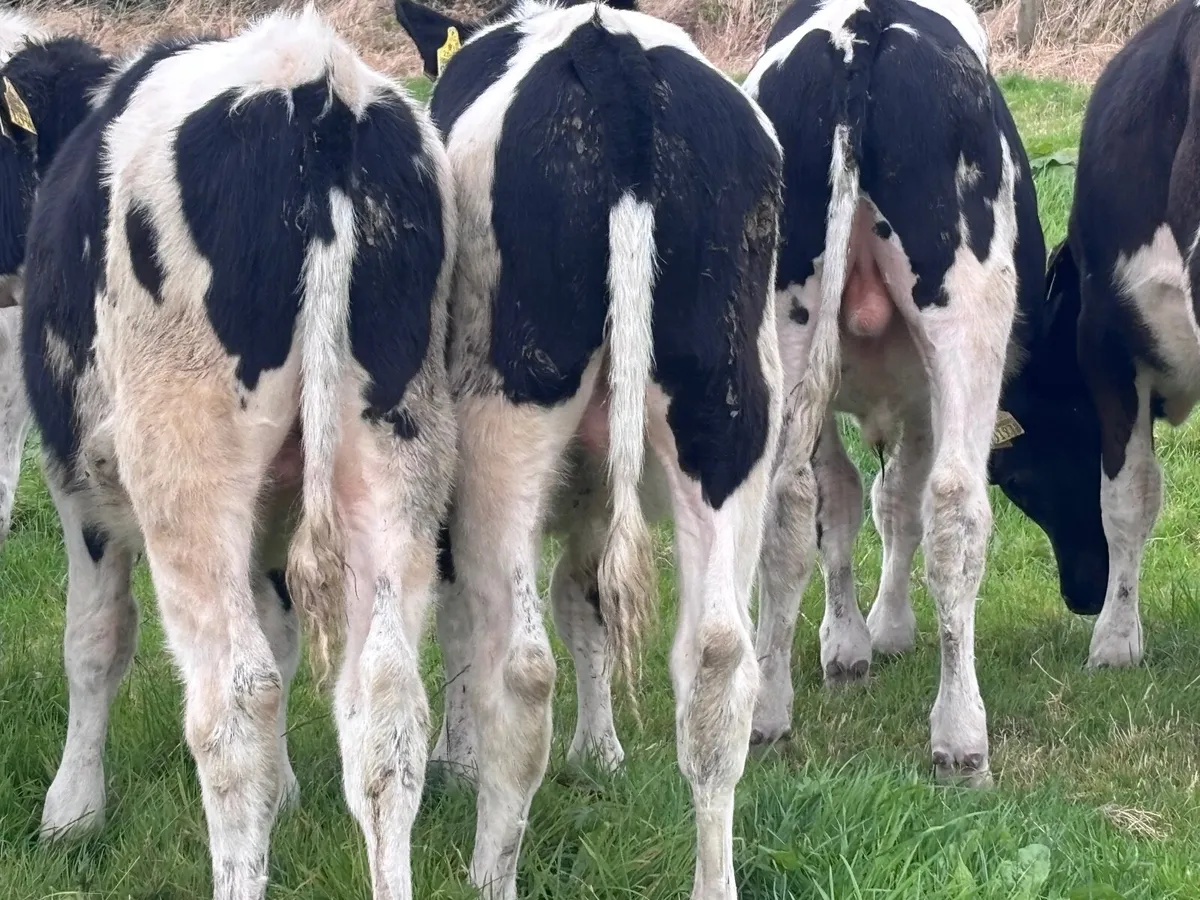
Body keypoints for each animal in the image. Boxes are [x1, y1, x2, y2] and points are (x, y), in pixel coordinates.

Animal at [21, 8, 458, 899]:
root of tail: (317, 85)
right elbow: (284, 636)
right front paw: (289, 792)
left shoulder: (79, 485)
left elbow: (94, 642)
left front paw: (72, 811)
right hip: (397, 459)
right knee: (386, 705)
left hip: (185, 470)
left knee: (233, 703)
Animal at [393, 0, 785, 897]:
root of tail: (615, 63)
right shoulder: (601, 492)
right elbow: (588, 599)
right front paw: (601, 751)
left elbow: (465, 620)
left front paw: (455, 761)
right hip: (729, 416)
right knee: (718, 658)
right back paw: (714, 880)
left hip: (504, 420)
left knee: (521, 668)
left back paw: (488, 871)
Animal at [737, 0, 1046, 785]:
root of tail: (862, 29)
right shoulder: (924, 401)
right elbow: (896, 501)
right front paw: (885, 630)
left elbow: (846, 503)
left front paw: (848, 642)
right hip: (969, 321)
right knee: (956, 508)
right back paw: (962, 737)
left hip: (785, 318)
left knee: (785, 508)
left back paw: (765, 709)